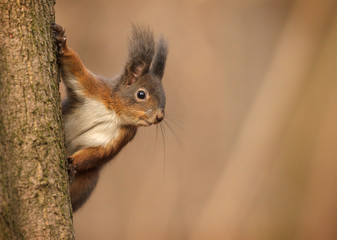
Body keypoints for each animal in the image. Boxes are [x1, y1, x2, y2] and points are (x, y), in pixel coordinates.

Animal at [52, 23, 167, 211]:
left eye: (165, 98)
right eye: (141, 94)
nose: (159, 117)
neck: (114, 112)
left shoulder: (123, 136)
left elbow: (99, 152)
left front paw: (72, 163)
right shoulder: (94, 88)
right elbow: (75, 69)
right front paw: (62, 43)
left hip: (87, 181)